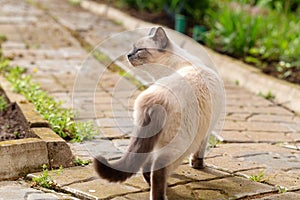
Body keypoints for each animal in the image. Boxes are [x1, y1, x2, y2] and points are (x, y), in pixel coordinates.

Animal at [94, 27, 225, 200]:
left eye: (139, 50)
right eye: (132, 48)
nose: (128, 55)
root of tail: (156, 101)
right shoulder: (206, 131)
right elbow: (200, 151)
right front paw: (198, 165)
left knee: (146, 164)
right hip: (179, 145)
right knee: (157, 170)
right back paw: (161, 194)